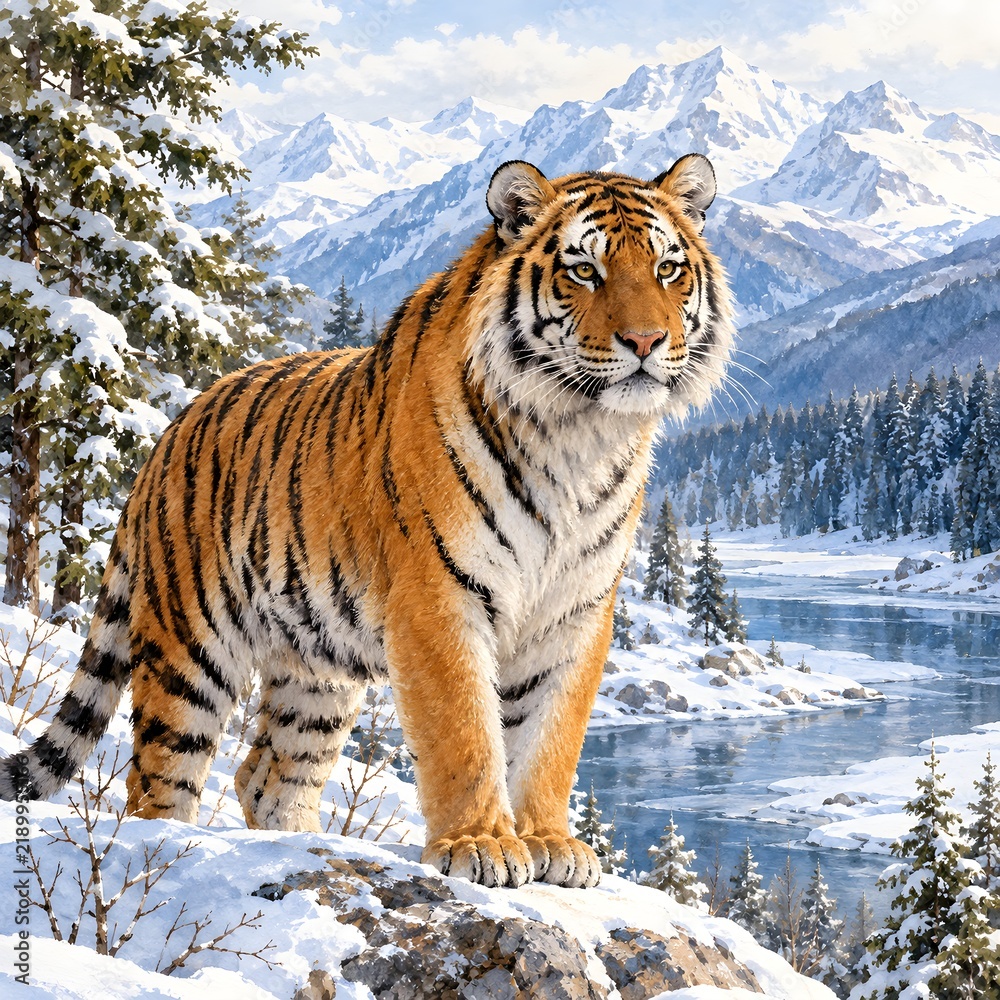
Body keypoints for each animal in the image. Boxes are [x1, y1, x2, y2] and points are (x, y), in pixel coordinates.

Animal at [0, 154, 733, 888]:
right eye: (585, 270)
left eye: (667, 268)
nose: (646, 340)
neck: (579, 437)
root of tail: (165, 437)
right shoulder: (440, 595)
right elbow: (465, 732)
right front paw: (481, 844)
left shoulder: (575, 610)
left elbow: (550, 738)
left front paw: (551, 844)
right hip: (192, 649)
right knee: (158, 782)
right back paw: (164, 855)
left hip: (315, 674)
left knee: (267, 776)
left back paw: (303, 847)